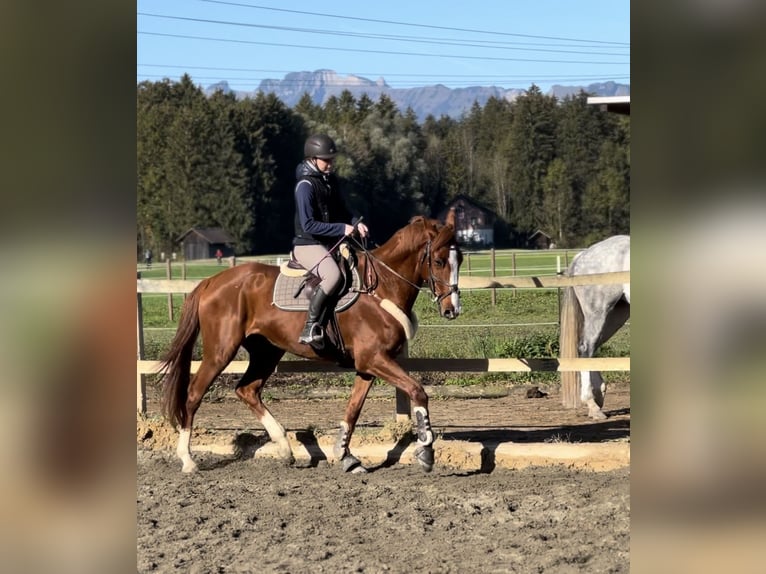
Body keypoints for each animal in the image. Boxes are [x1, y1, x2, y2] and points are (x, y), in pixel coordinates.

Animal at [159, 212, 464, 476]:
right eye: (438, 261)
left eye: (459, 258)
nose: (452, 310)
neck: (380, 287)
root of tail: (211, 281)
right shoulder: (374, 359)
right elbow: (417, 391)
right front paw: (426, 452)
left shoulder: (368, 365)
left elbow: (353, 410)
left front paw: (346, 456)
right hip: (221, 351)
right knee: (194, 394)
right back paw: (187, 460)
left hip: (266, 351)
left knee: (247, 390)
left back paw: (284, 448)